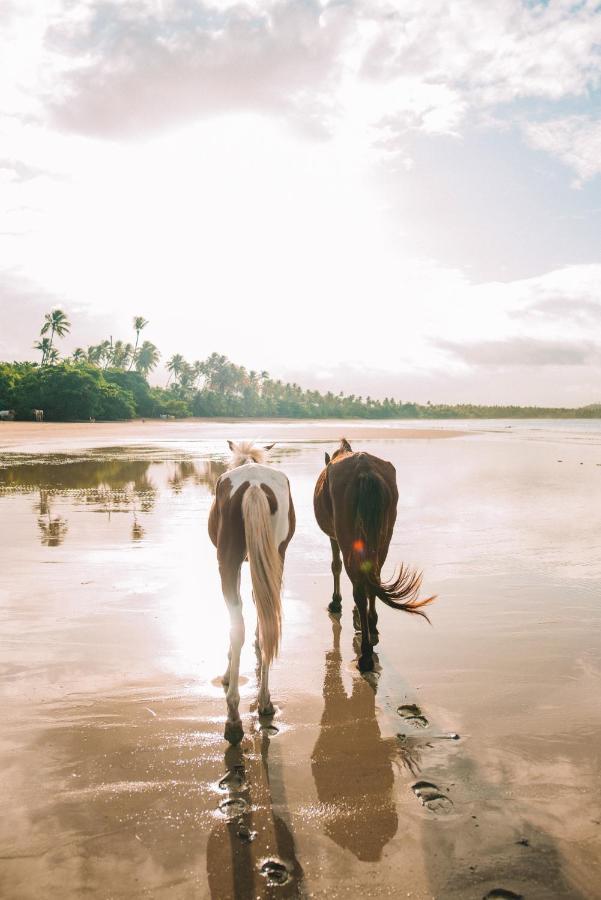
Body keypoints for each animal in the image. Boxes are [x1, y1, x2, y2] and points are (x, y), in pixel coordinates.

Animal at [209, 442, 296, 744]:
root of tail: (255, 485)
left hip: (227, 560)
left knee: (237, 626)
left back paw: (233, 718)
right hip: (276, 556)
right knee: (270, 618)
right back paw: (265, 701)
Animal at [312, 440, 434, 672]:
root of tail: (364, 470)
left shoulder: (333, 537)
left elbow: (335, 566)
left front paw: (336, 603)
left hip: (347, 537)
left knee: (360, 587)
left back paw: (366, 653)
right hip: (383, 538)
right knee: (373, 577)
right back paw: (372, 625)